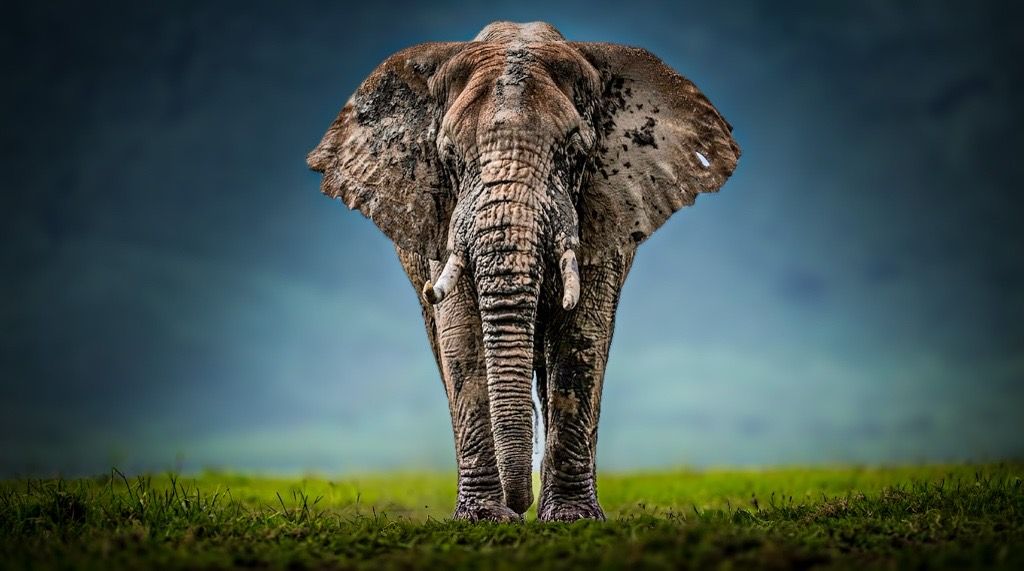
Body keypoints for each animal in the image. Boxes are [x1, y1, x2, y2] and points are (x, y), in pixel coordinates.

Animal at [307, 21, 739, 522]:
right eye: (448, 156)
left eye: (575, 153)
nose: (521, 503)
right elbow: (462, 337)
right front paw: (482, 519)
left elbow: (580, 336)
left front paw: (572, 519)